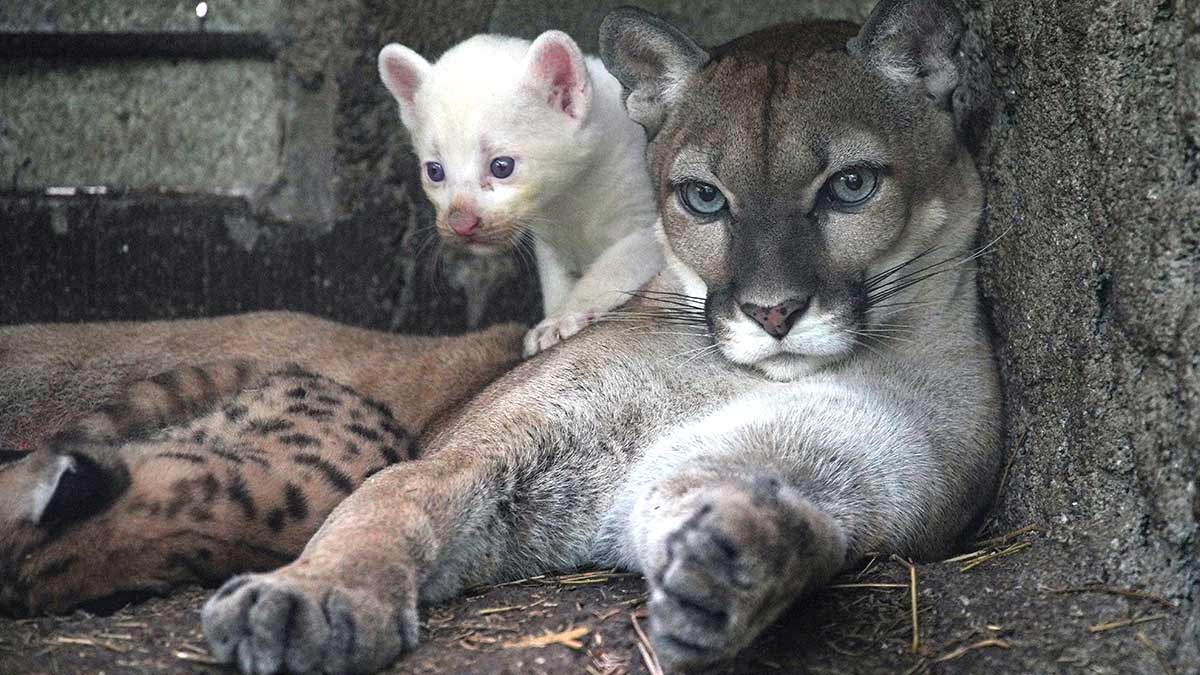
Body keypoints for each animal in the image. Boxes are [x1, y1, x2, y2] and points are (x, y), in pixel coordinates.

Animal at [376, 30, 662, 357]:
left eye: (502, 166)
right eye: (434, 171)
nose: (462, 224)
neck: (573, 201)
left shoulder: (647, 219)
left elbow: (612, 268)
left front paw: (560, 321)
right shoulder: (550, 243)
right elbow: (555, 284)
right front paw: (551, 321)